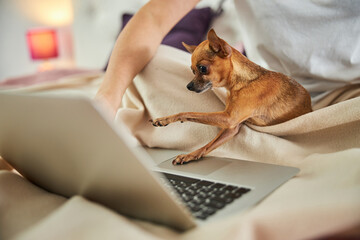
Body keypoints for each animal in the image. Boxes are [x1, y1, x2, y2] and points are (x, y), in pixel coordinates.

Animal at [150, 28, 310, 165]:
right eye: (192, 71)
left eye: (202, 68)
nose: (188, 86)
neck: (243, 82)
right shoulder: (232, 126)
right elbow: (209, 145)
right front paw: (190, 155)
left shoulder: (229, 118)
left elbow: (189, 112)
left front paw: (166, 119)